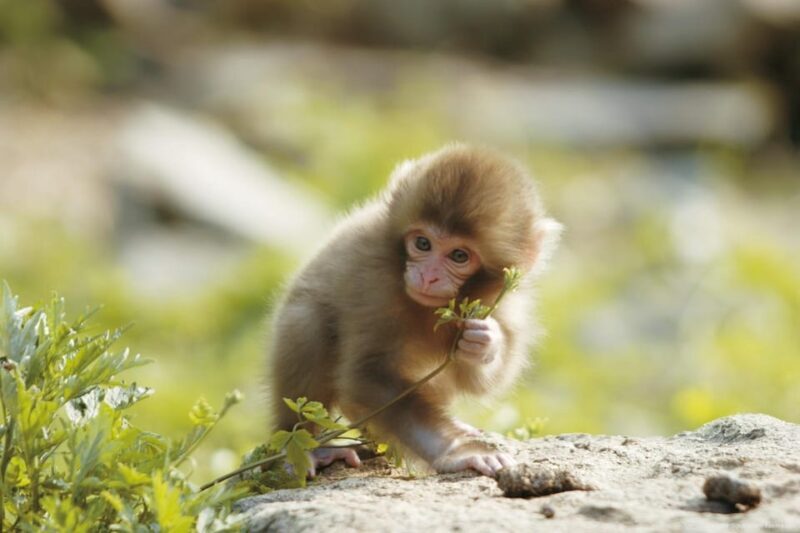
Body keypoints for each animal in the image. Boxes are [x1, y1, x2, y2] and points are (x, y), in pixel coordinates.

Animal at [267, 144, 561, 477]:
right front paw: (457, 452)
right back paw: (309, 448)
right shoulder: (375, 282)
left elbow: (479, 381)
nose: (427, 276)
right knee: (308, 323)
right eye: (422, 243)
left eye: (459, 255)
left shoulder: (507, 305)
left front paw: (486, 342)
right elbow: (370, 376)